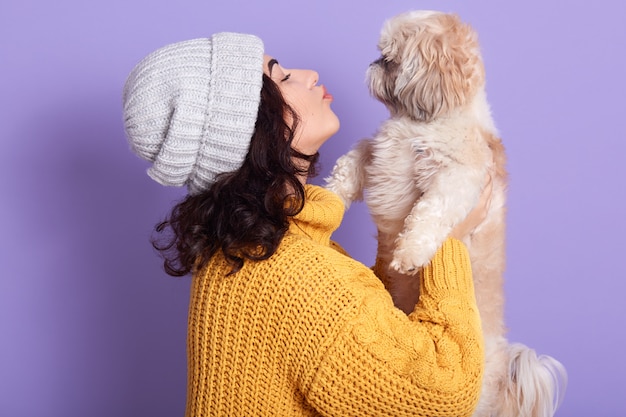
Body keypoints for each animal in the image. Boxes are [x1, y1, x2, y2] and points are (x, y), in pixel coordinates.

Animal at [326, 9, 564, 416]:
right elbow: (351, 162)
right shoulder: (378, 153)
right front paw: (329, 194)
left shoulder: (458, 178)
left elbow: (429, 211)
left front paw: (408, 254)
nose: (374, 62)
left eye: (392, 59)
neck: (419, 125)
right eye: (383, 55)